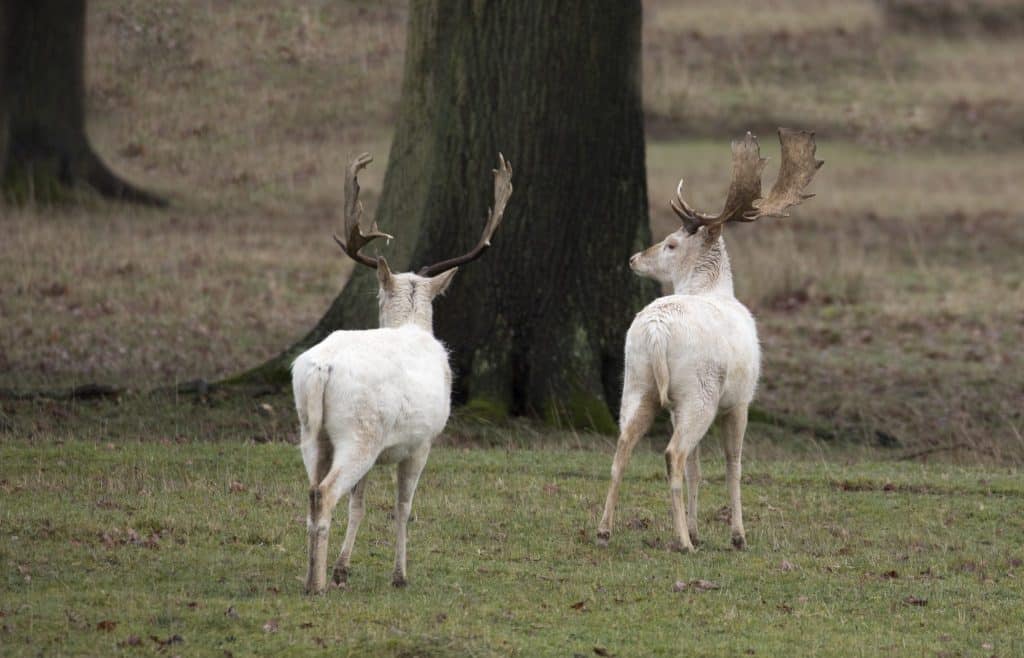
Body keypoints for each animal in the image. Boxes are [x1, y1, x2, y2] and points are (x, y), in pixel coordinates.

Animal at [294, 153, 516, 593]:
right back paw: (317, 585)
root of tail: (323, 368)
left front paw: (344, 569)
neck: (412, 326)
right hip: (360, 433)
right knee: (325, 493)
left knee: (312, 490)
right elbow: (403, 506)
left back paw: (314, 575)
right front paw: (399, 575)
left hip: (311, 432)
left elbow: (359, 503)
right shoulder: (422, 442)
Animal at [593, 128, 823, 552]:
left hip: (637, 382)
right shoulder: (741, 400)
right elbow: (734, 465)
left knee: (623, 449)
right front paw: (737, 535)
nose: (634, 258)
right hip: (699, 392)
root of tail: (656, 332)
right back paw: (682, 541)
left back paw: (604, 530)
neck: (714, 289)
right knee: (673, 453)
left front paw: (700, 526)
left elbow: (699, 468)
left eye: (670, 243)